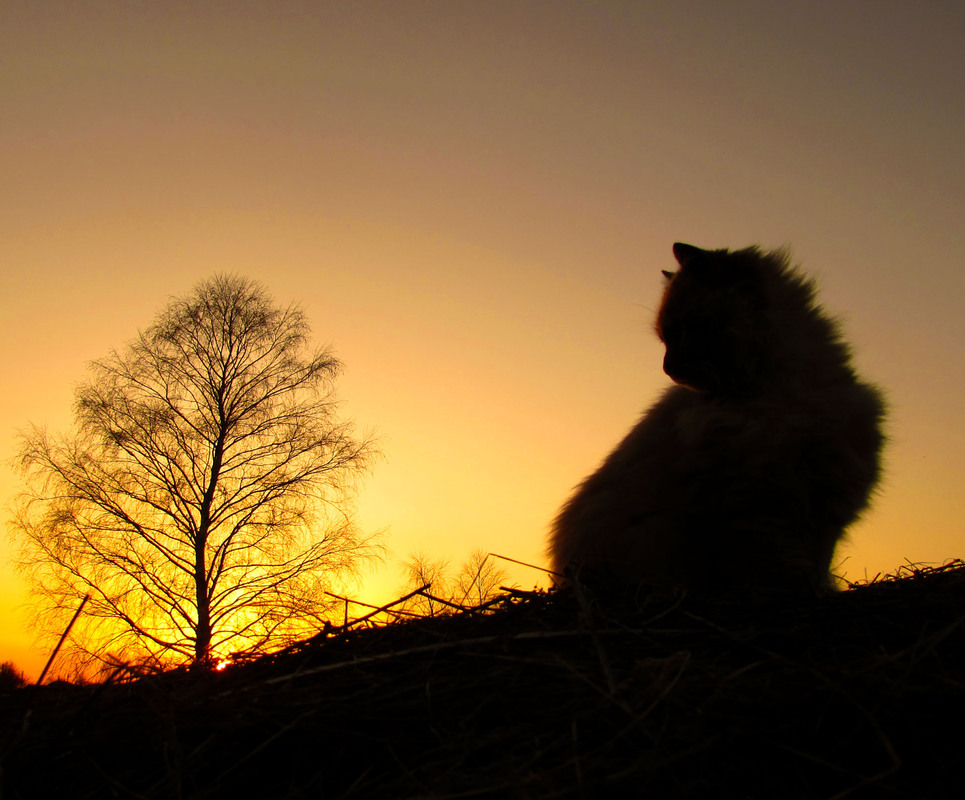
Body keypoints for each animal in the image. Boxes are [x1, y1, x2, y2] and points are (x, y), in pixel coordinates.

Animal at [548, 244, 884, 592]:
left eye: (680, 332)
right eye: (665, 339)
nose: (667, 367)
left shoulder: (819, 506)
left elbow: (815, 569)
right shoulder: (757, 509)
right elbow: (784, 575)